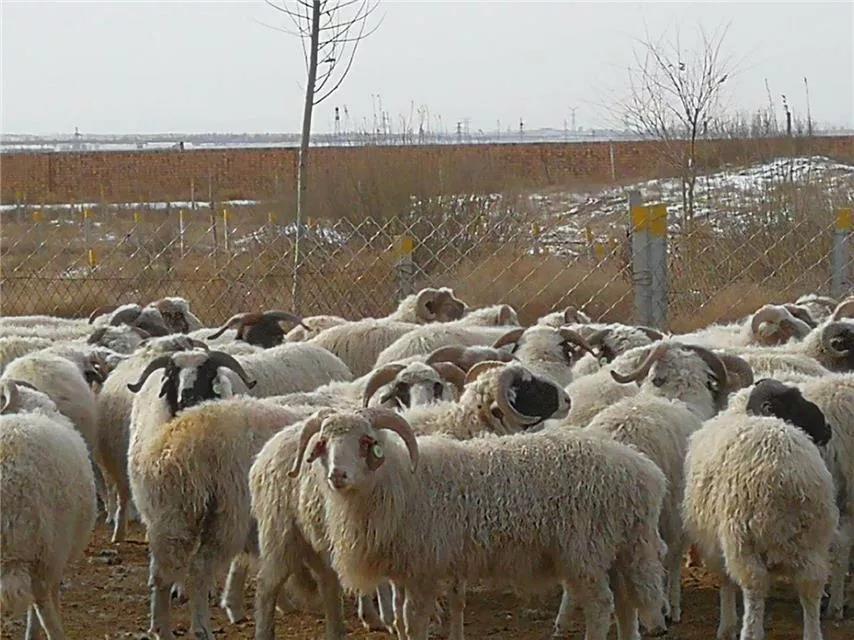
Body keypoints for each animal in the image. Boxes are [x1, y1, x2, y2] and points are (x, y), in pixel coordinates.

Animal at [125, 392, 302, 640]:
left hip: (170, 514)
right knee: (199, 569)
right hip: (227, 516)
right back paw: (202, 628)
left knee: (161, 573)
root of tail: (179, 443)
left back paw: (162, 629)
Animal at [684, 404, 840, 640]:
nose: (828, 430)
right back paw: (812, 632)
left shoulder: (715, 542)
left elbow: (725, 581)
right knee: (810, 586)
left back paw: (750, 632)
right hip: (812, 540)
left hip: (743, 538)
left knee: (754, 589)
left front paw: (726, 627)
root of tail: (786, 474)